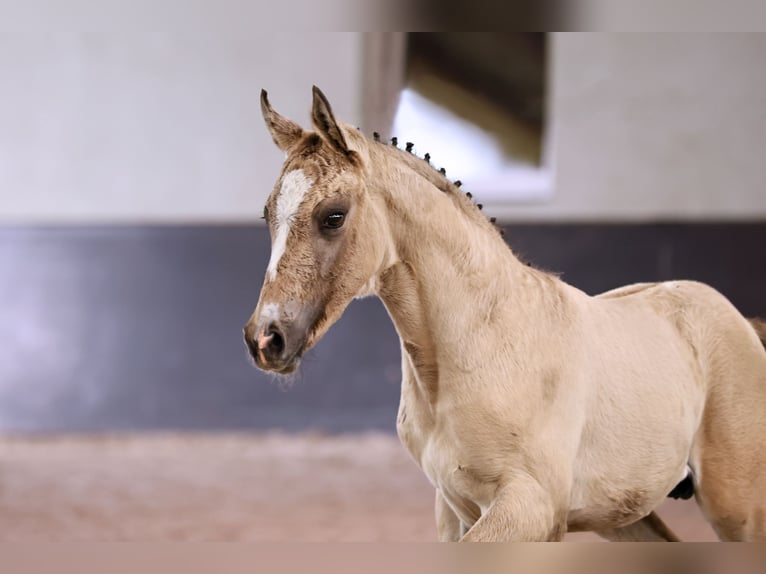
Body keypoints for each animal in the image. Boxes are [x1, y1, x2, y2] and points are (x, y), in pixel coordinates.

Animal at [244, 86, 766, 544]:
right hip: (626, 514)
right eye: (268, 215)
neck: (484, 344)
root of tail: (743, 325)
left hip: (738, 507)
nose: (265, 339)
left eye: (333, 215)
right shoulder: (455, 510)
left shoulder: (530, 508)